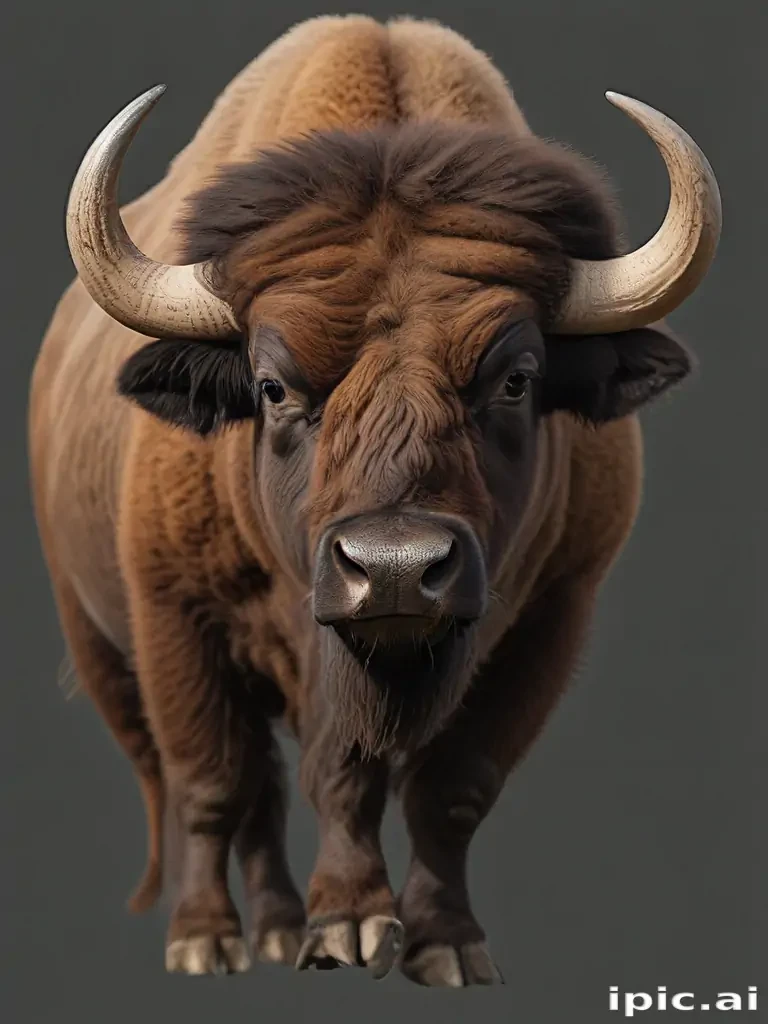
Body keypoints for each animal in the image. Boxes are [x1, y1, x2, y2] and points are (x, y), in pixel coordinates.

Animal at [29, 14, 721, 987]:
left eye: (517, 378)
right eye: (271, 386)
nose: (395, 569)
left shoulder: (548, 620)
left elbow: (449, 790)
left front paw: (439, 942)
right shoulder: (177, 620)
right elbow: (222, 781)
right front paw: (253, 936)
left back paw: (281, 925)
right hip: (99, 639)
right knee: (220, 785)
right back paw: (249, 933)